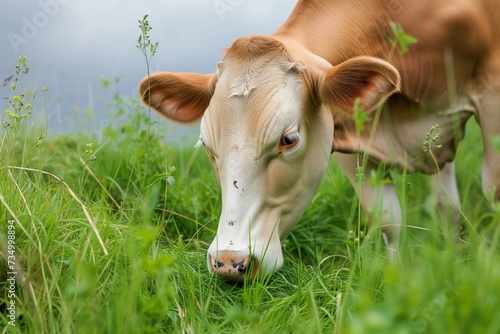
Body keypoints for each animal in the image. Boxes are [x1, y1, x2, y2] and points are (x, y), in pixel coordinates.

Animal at [140, 0, 500, 282]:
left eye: (289, 139)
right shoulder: (349, 138)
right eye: (206, 146)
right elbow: (387, 219)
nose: (229, 262)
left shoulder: (491, 94)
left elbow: (493, 191)